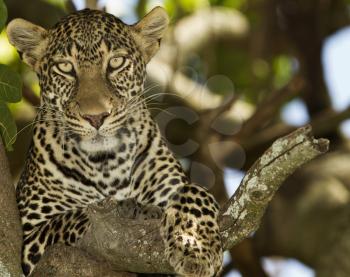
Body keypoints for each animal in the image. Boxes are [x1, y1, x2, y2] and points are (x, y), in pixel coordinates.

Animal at [6, 7, 223, 276]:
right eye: (65, 67)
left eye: (116, 63)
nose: (95, 117)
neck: (107, 165)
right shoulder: (30, 237)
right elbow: (75, 215)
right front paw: (135, 210)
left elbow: (195, 191)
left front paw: (196, 247)